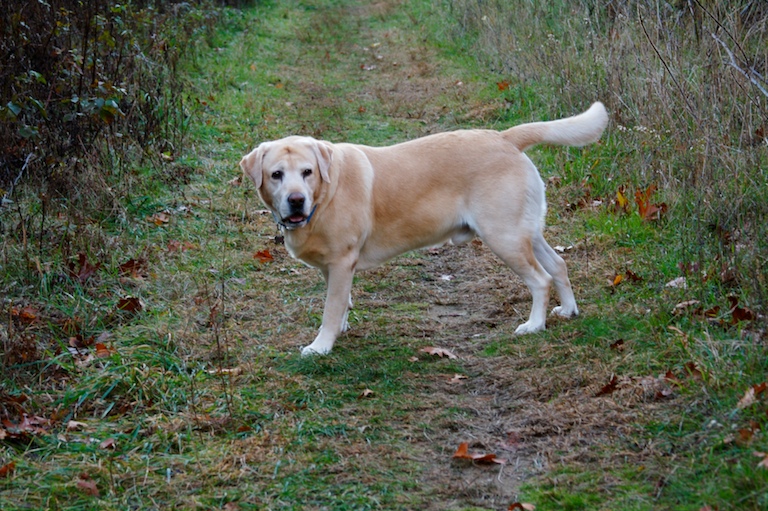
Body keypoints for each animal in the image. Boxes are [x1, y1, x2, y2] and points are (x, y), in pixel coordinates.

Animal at [240, 102, 608, 354]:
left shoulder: (342, 262)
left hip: (504, 238)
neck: (325, 195)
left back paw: (534, 325)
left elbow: (331, 309)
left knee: (540, 279)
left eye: (307, 172)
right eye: (276, 175)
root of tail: (504, 137)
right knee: (558, 264)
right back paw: (568, 310)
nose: (296, 200)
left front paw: (320, 346)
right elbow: (342, 302)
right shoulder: (333, 268)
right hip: (525, 232)